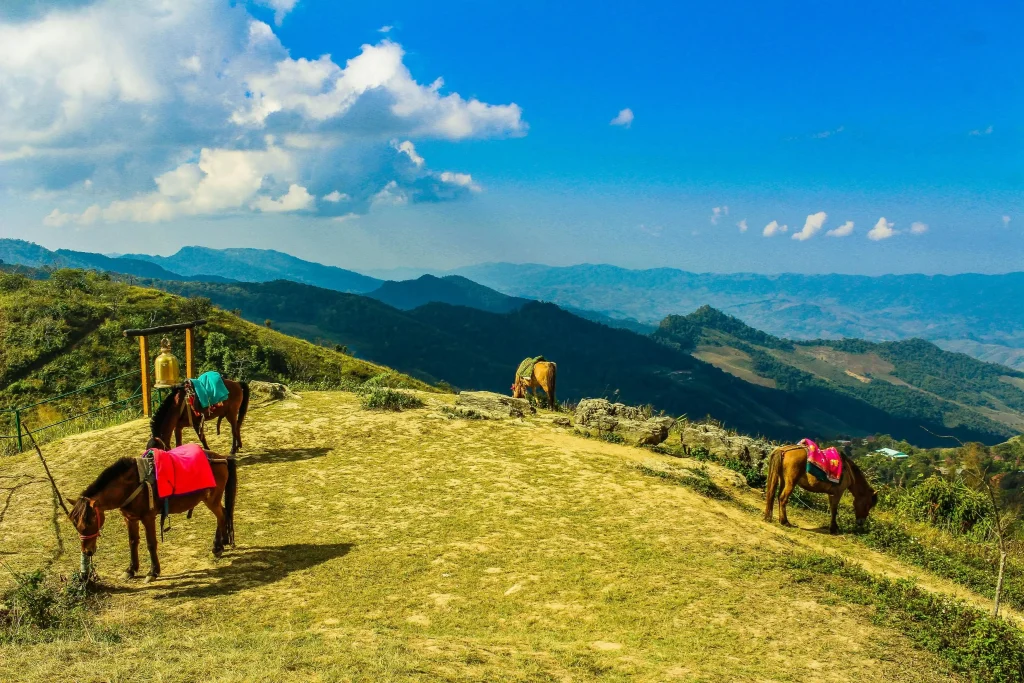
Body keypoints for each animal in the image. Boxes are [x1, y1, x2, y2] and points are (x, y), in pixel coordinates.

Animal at [68, 438, 235, 581]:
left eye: (90, 522)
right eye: (75, 524)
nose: (87, 551)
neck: (133, 485)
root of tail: (222, 458)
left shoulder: (148, 518)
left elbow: (150, 543)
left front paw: (153, 572)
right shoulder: (130, 518)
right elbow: (133, 542)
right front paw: (131, 569)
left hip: (211, 499)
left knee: (221, 516)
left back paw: (218, 547)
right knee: (224, 513)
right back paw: (224, 541)